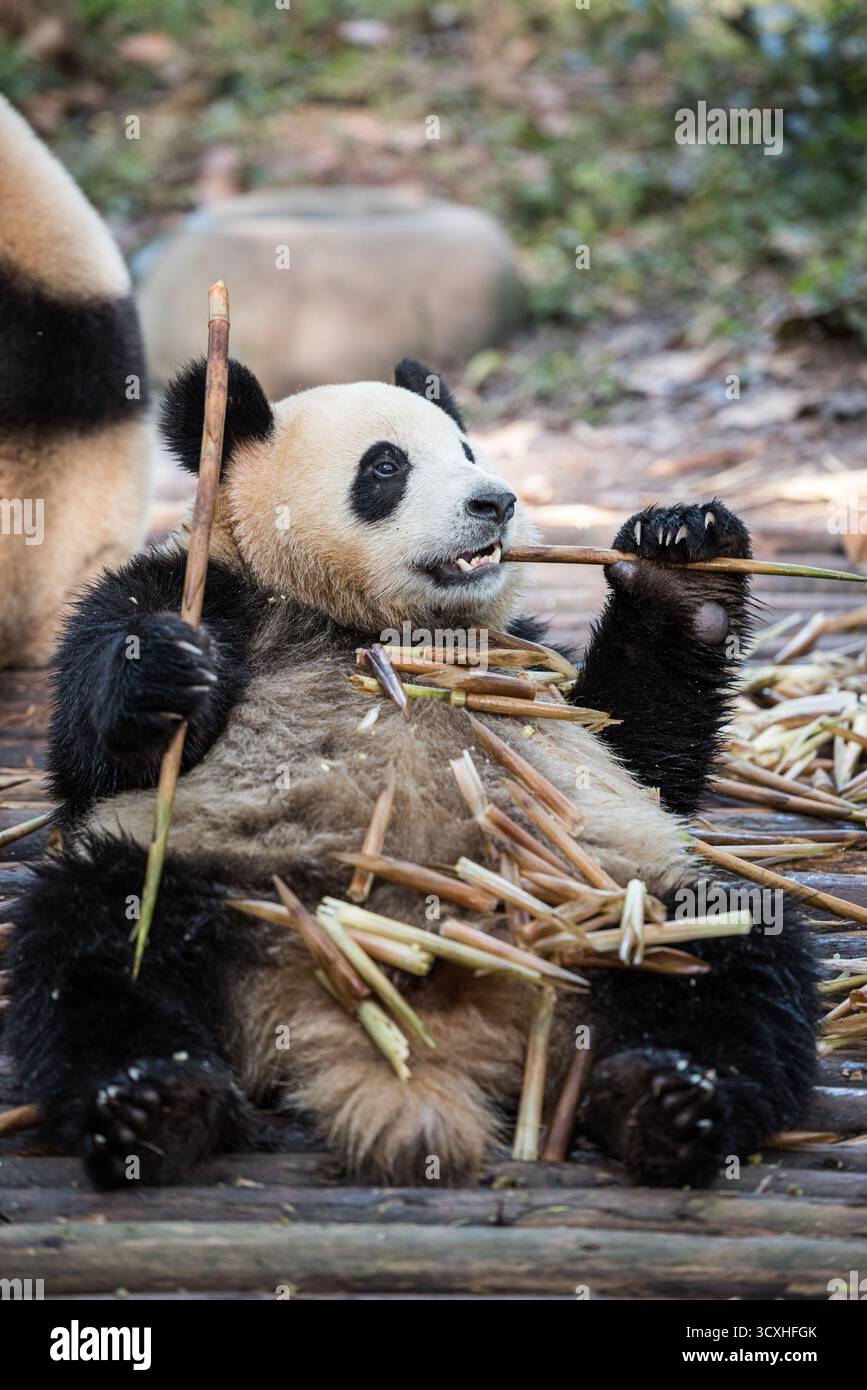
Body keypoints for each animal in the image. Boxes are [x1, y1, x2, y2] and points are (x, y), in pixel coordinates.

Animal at [5, 354, 818, 1190]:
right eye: (386, 467)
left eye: (466, 448)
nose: (496, 501)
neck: (376, 629)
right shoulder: (205, 591)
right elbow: (91, 757)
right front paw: (163, 673)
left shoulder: (522, 660)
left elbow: (637, 750)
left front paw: (682, 555)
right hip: (217, 877)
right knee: (93, 944)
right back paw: (156, 1105)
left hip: (603, 900)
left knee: (734, 951)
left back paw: (667, 1102)